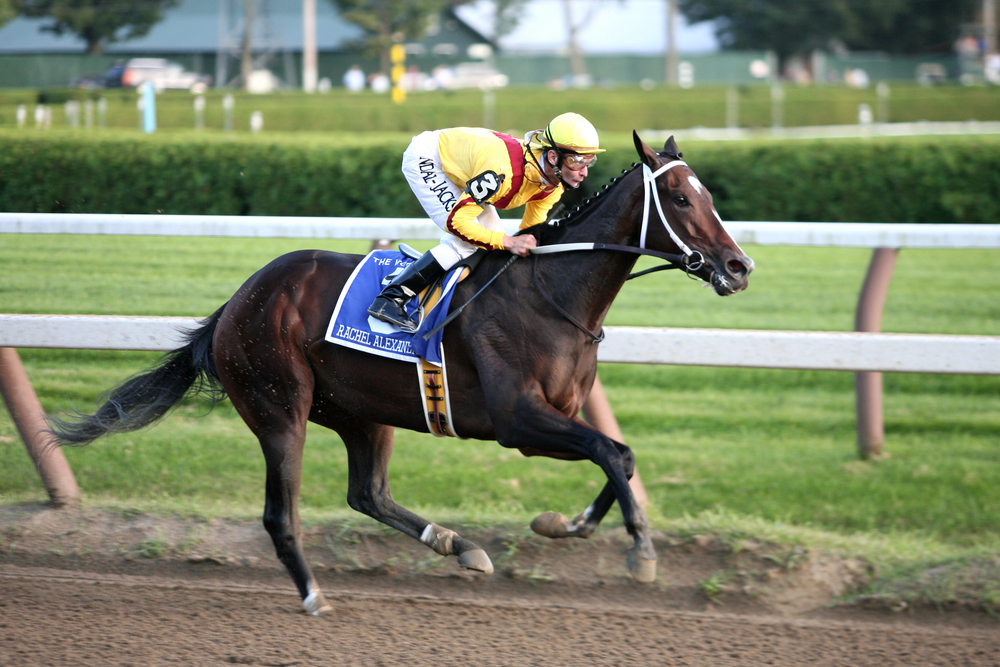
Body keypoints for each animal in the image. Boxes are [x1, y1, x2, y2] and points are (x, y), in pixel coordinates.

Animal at [48, 133, 752, 620]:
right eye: (682, 198)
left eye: (712, 197)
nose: (739, 267)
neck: (552, 291)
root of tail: (237, 302)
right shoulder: (518, 421)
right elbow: (609, 451)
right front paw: (641, 555)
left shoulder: (561, 411)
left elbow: (619, 455)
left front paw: (566, 524)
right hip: (279, 407)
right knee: (281, 515)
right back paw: (313, 595)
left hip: (361, 411)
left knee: (368, 494)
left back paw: (457, 545)